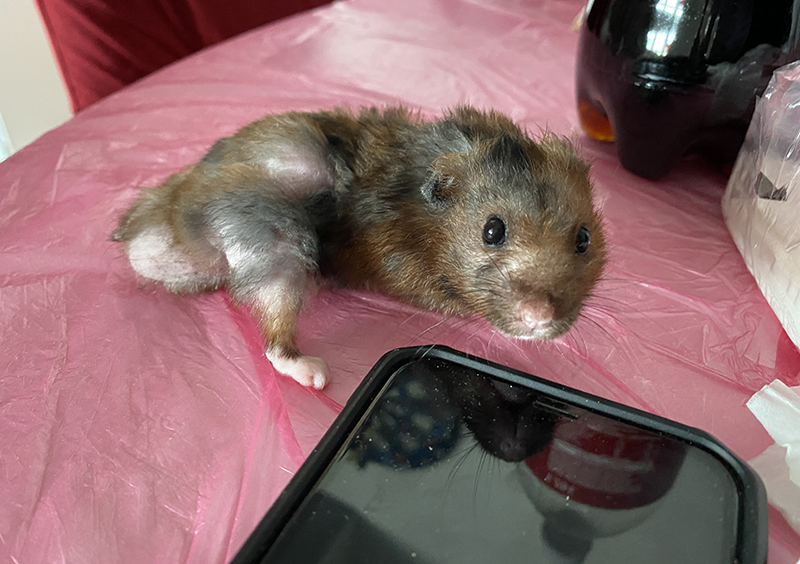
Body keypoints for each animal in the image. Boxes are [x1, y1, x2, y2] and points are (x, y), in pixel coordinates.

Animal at [112, 104, 608, 388]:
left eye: (584, 239)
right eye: (492, 230)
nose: (540, 318)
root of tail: (167, 221)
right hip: (276, 239)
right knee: (275, 339)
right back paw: (314, 374)